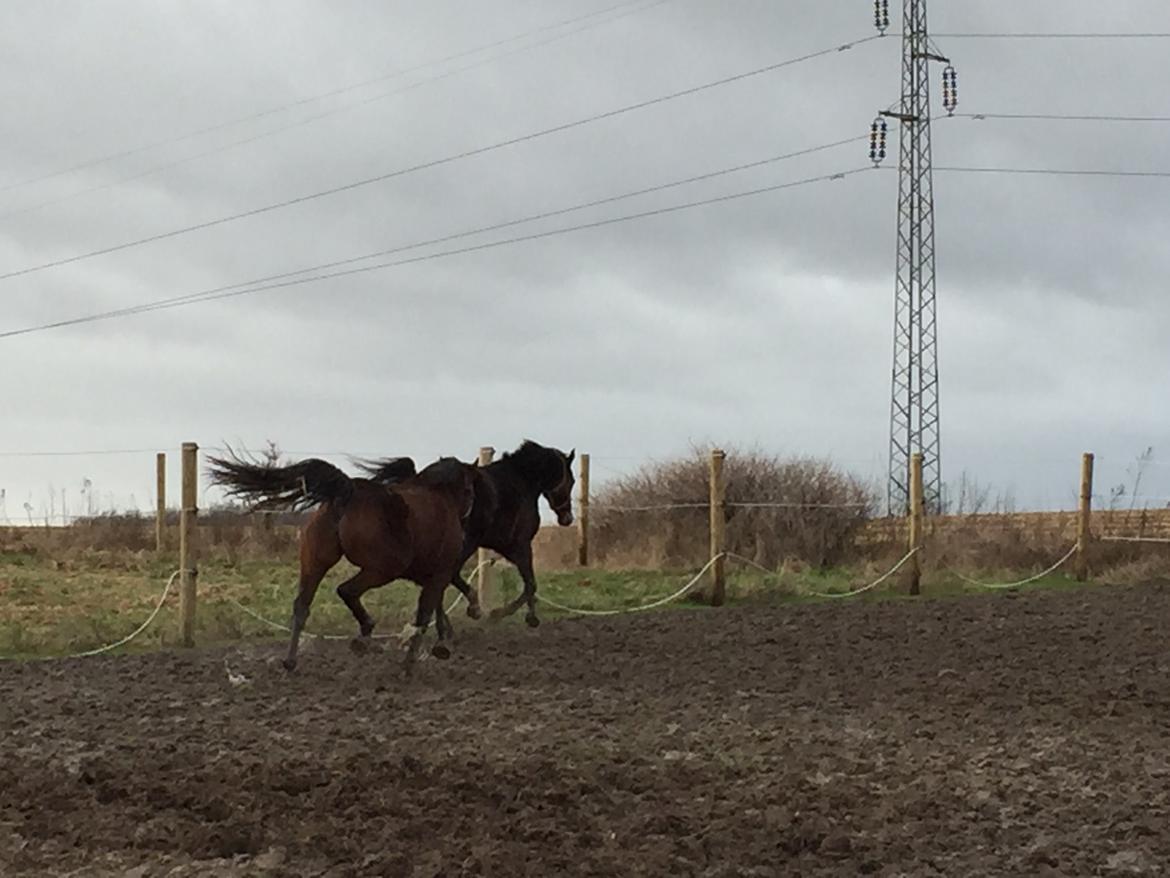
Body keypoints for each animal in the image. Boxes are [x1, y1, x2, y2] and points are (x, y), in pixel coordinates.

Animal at [205, 449, 475, 678]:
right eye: (469, 489)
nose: (467, 516)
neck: (440, 497)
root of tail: (348, 490)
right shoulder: (439, 573)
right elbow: (425, 612)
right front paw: (414, 661)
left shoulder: (429, 575)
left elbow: (436, 606)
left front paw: (442, 641)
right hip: (382, 569)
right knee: (346, 590)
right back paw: (363, 637)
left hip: (316, 562)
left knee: (302, 606)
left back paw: (291, 661)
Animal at [355, 437, 575, 627]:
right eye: (571, 481)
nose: (568, 518)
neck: (521, 481)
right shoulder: (519, 545)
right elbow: (531, 583)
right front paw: (509, 614)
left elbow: (530, 583)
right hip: (464, 544)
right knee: (447, 576)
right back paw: (467, 612)